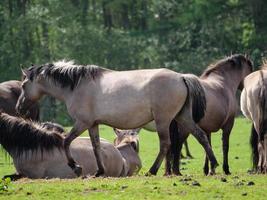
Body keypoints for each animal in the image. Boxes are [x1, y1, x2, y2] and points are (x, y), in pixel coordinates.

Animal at [15, 60, 219, 176]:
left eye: (24, 85)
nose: (19, 108)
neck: (77, 86)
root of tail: (181, 77)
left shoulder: (82, 123)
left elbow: (66, 141)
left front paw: (75, 166)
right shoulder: (93, 125)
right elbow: (96, 147)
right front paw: (99, 171)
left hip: (164, 121)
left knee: (166, 145)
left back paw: (153, 171)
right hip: (182, 118)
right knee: (201, 136)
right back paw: (214, 166)